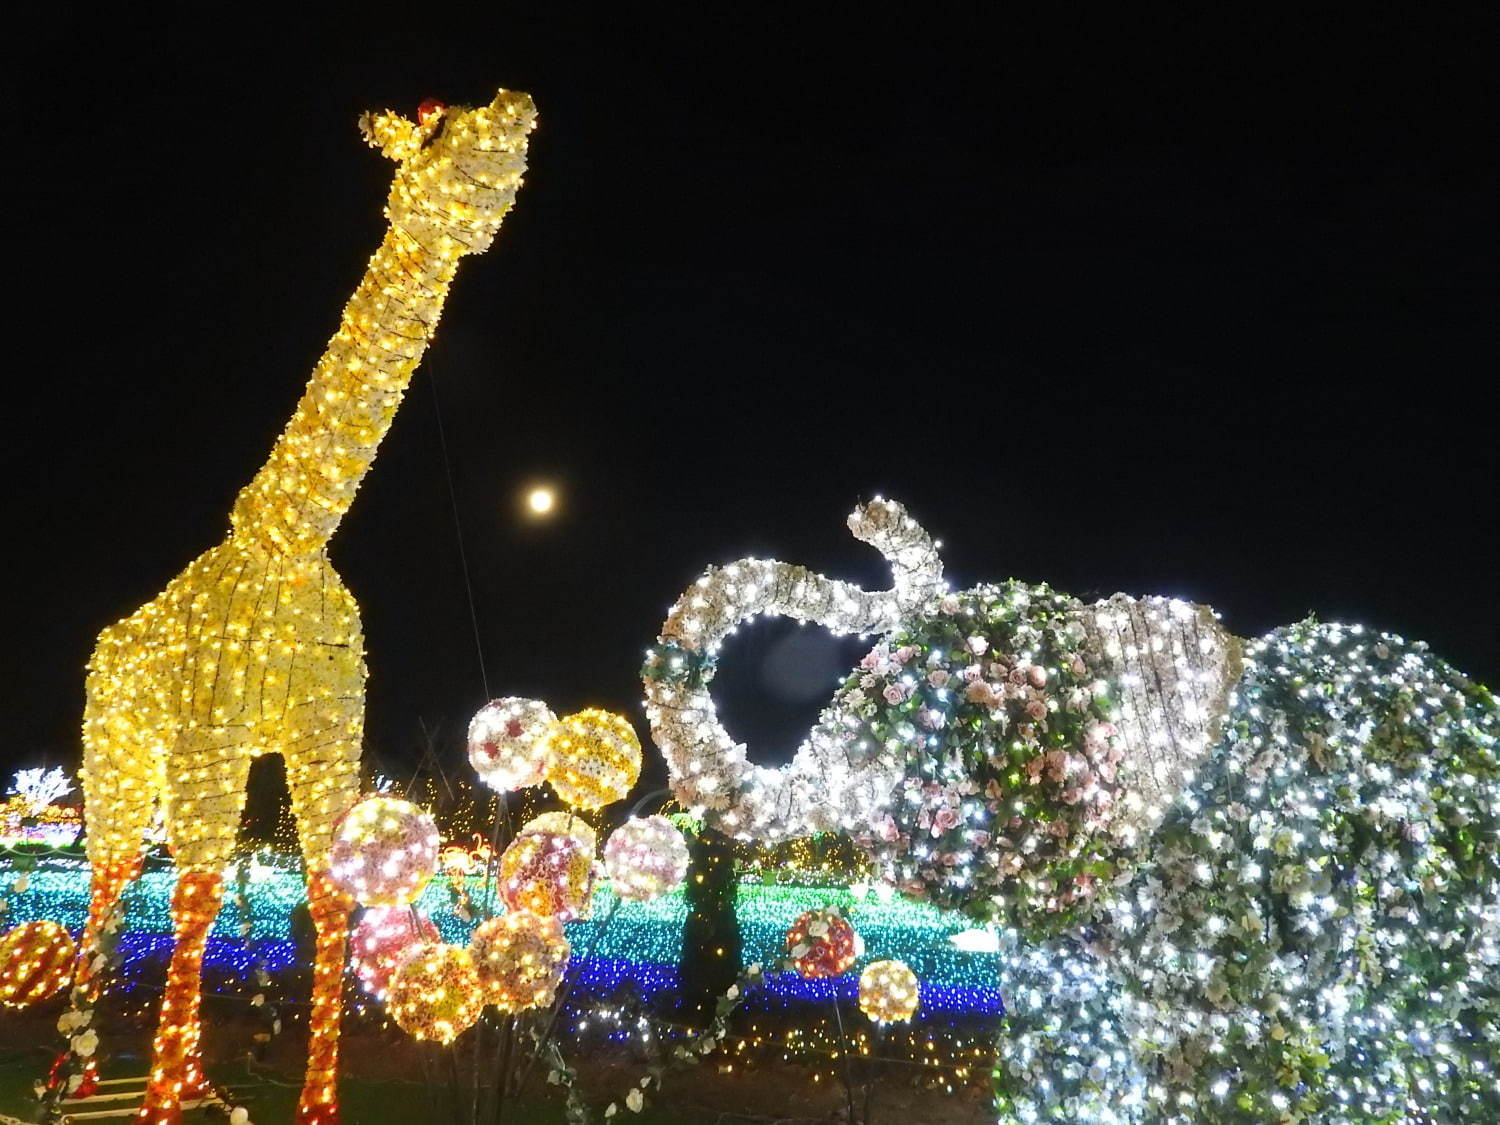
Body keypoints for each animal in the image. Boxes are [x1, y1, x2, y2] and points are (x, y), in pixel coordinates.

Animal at [73, 90, 540, 1125]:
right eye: (433, 119)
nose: (513, 105)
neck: (290, 539)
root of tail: (105, 646)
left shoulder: (325, 732)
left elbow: (328, 895)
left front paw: (314, 1101)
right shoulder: (210, 734)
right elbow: (197, 897)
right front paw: (159, 1104)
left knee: (124, 883)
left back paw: (158, 1070)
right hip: (121, 747)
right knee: (112, 871)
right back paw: (80, 1073)